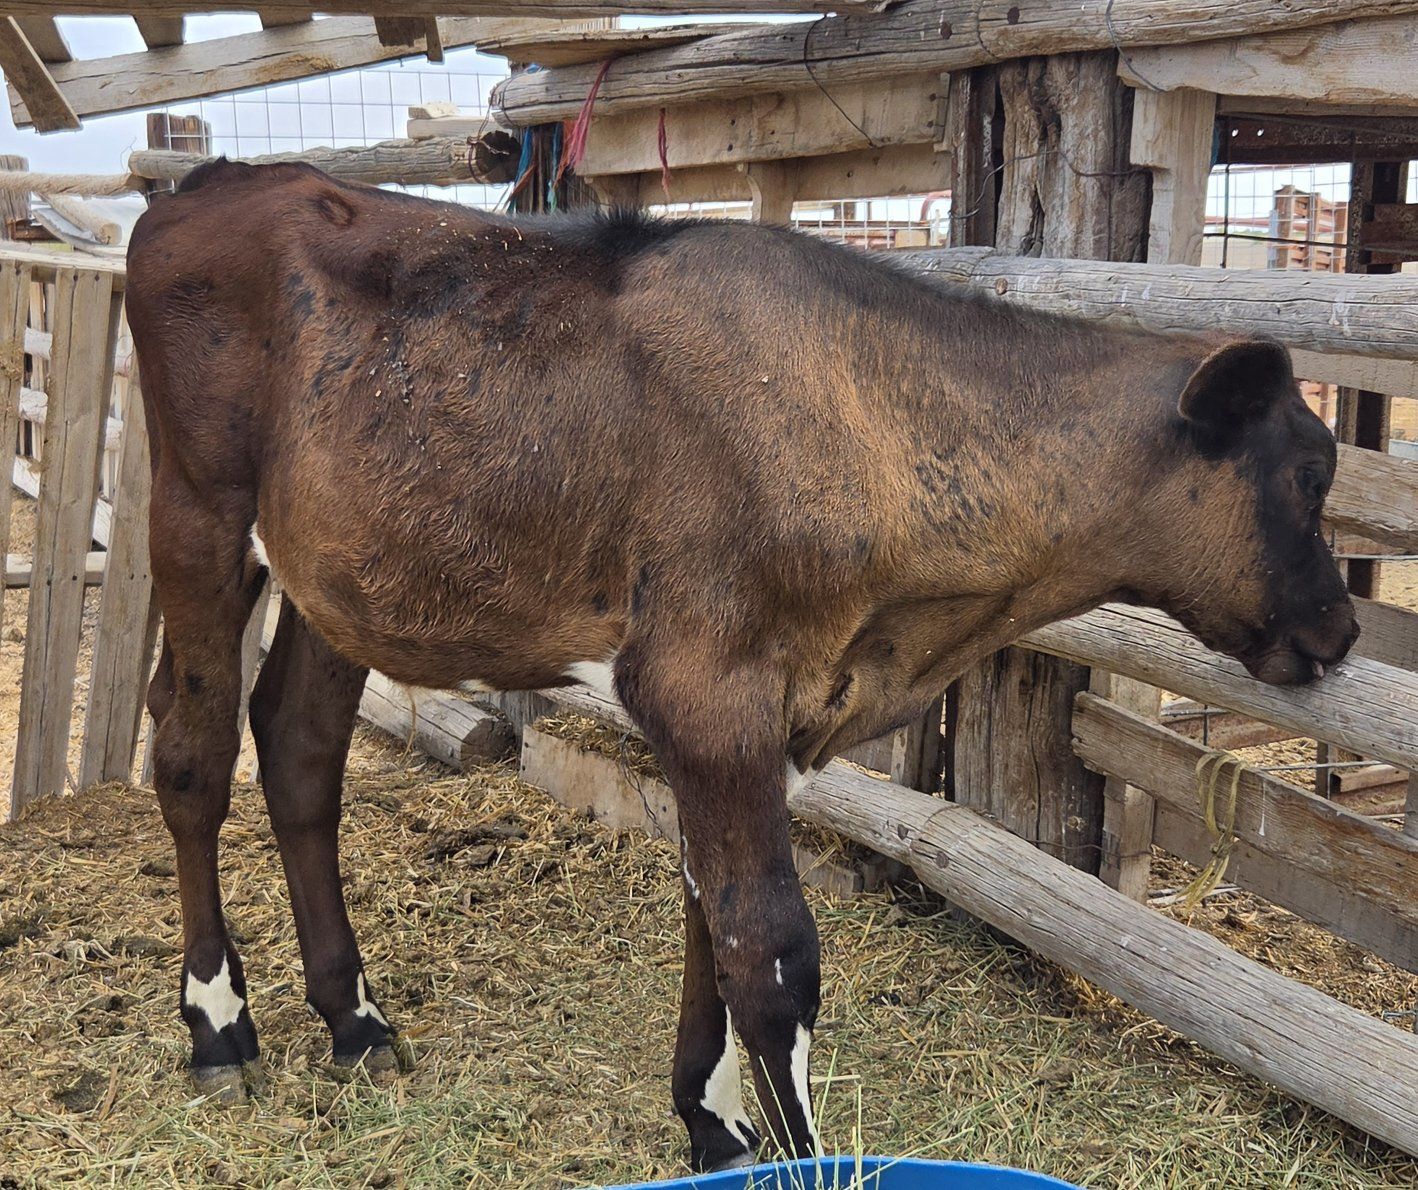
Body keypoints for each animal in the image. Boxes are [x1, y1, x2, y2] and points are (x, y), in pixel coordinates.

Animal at [125, 159, 1357, 1172]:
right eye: (1308, 474)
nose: (1344, 628)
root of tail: (217, 181)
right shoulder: (705, 686)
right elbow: (770, 953)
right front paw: (786, 1148)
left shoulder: (763, 709)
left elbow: (708, 920)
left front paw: (713, 1127)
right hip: (195, 514)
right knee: (191, 753)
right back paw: (219, 1026)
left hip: (338, 575)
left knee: (297, 751)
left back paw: (355, 1018)